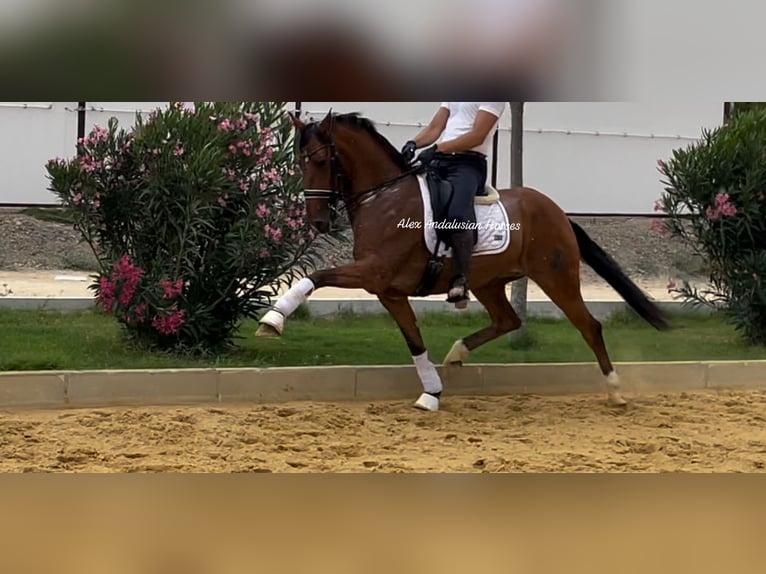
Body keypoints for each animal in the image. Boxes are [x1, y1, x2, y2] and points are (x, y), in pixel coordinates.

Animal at [255, 110, 668, 412]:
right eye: (300, 162)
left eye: (323, 160)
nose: (318, 222)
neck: (384, 198)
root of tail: (557, 210)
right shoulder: (389, 291)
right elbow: (414, 340)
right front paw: (431, 392)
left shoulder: (374, 272)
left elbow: (316, 274)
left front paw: (272, 320)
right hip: (489, 282)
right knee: (508, 320)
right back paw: (457, 353)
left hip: (557, 276)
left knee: (589, 326)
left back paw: (615, 391)